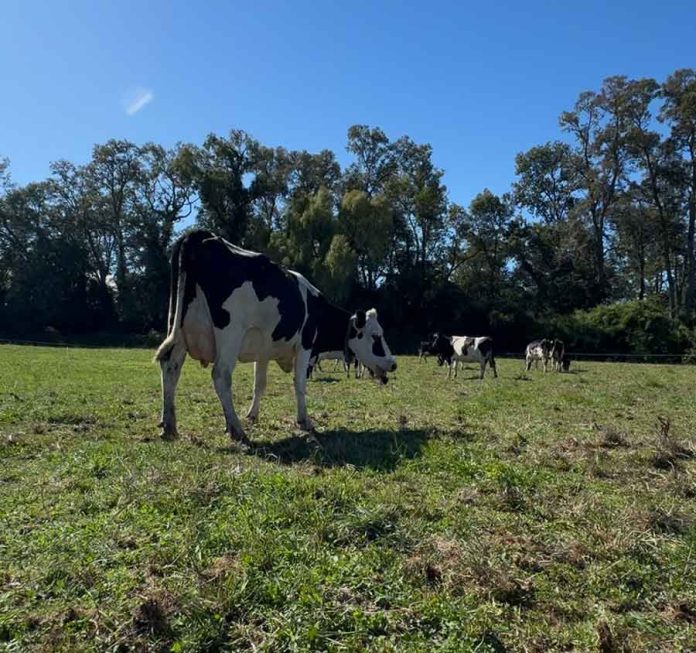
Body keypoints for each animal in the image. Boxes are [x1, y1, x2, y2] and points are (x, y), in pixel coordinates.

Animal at [157, 229, 396, 444]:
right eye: (376, 336)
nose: (393, 364)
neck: (316, 309)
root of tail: (198, 235)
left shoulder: (262, 349)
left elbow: (259, 384)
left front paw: (252, 415)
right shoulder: (305, 345)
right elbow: (300, 383)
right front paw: (304, 421)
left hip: (178, 328)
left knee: (170, 367)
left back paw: (169, 426)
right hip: (230, 333)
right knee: (221, 375)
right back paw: (236, 429)